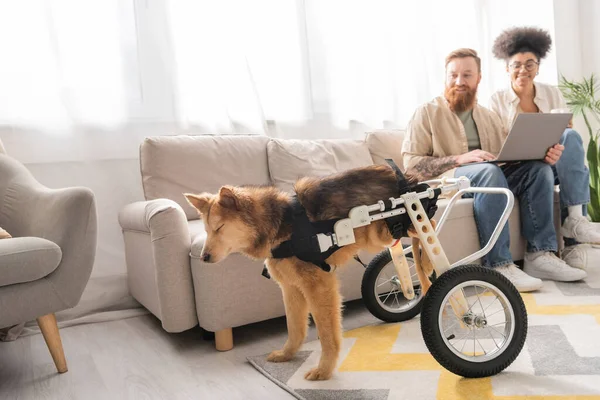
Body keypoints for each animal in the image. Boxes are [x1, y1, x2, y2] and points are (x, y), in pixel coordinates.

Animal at [185, 163, 434, 382]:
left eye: (219, 228)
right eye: (207, 230)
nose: (203, 258)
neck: (279, 224)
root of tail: (408, 178)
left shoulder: (320, 286)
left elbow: (327, 335)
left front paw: (324, 370)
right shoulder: (291, 289)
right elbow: (295, 327)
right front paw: (287, 354)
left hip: (393, 225)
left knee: (426, 233)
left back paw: (428, 264)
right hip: (383, 236)